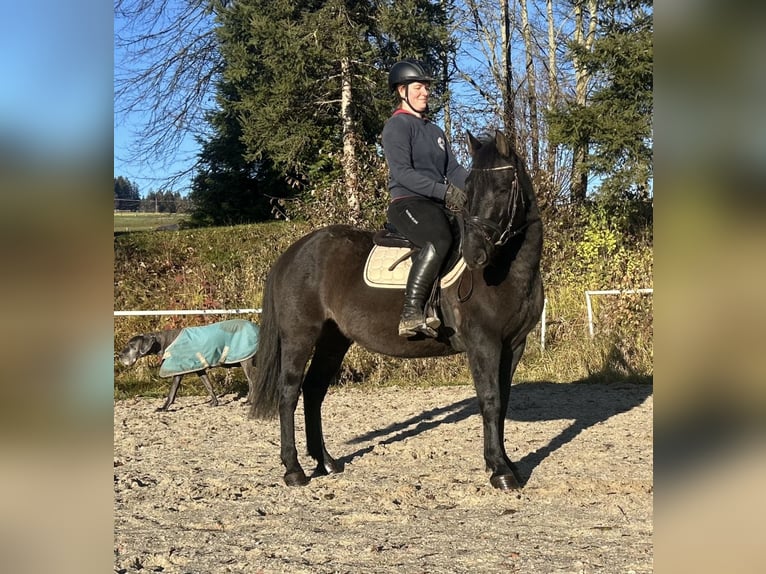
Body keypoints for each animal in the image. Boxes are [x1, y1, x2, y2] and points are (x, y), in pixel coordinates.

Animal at [118, 322, 260, 412]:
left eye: (131, 345)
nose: (119, 356)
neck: (162, 342)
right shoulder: (199, 369)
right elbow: (208, 385)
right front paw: (214, 402)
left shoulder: (178, 371)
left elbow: (172, 392)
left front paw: (164, 408)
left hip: (246, 361)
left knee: (253, 382)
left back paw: (249, 401)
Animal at [249, 130, 544, 490]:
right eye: (470, 190)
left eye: (502, 188)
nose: (474, 254)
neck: (509, 270)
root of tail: (293, 252)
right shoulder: (483, 344)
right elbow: (490, 400)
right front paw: (500, 471)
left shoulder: (514, 344)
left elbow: (503, 402)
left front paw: (508, 464)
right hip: (299, 337)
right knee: (289, 392)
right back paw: (294, 470)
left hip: (334, 340)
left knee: (314, 390)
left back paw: (326, 462)